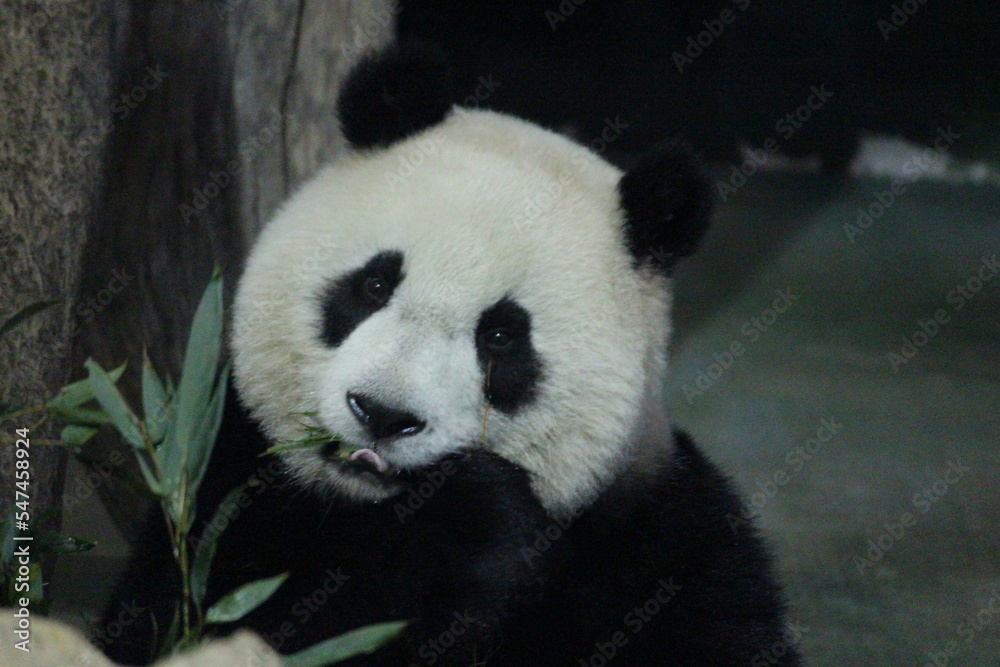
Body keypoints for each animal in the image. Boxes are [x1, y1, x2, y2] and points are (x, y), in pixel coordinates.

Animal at [104, 44, 800, 666]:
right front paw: (466, 519)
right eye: (374, 285)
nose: (383, 415)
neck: (365, 505)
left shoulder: (657, 544)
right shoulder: (223, 479)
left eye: (500, 337)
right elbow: (207, 625)